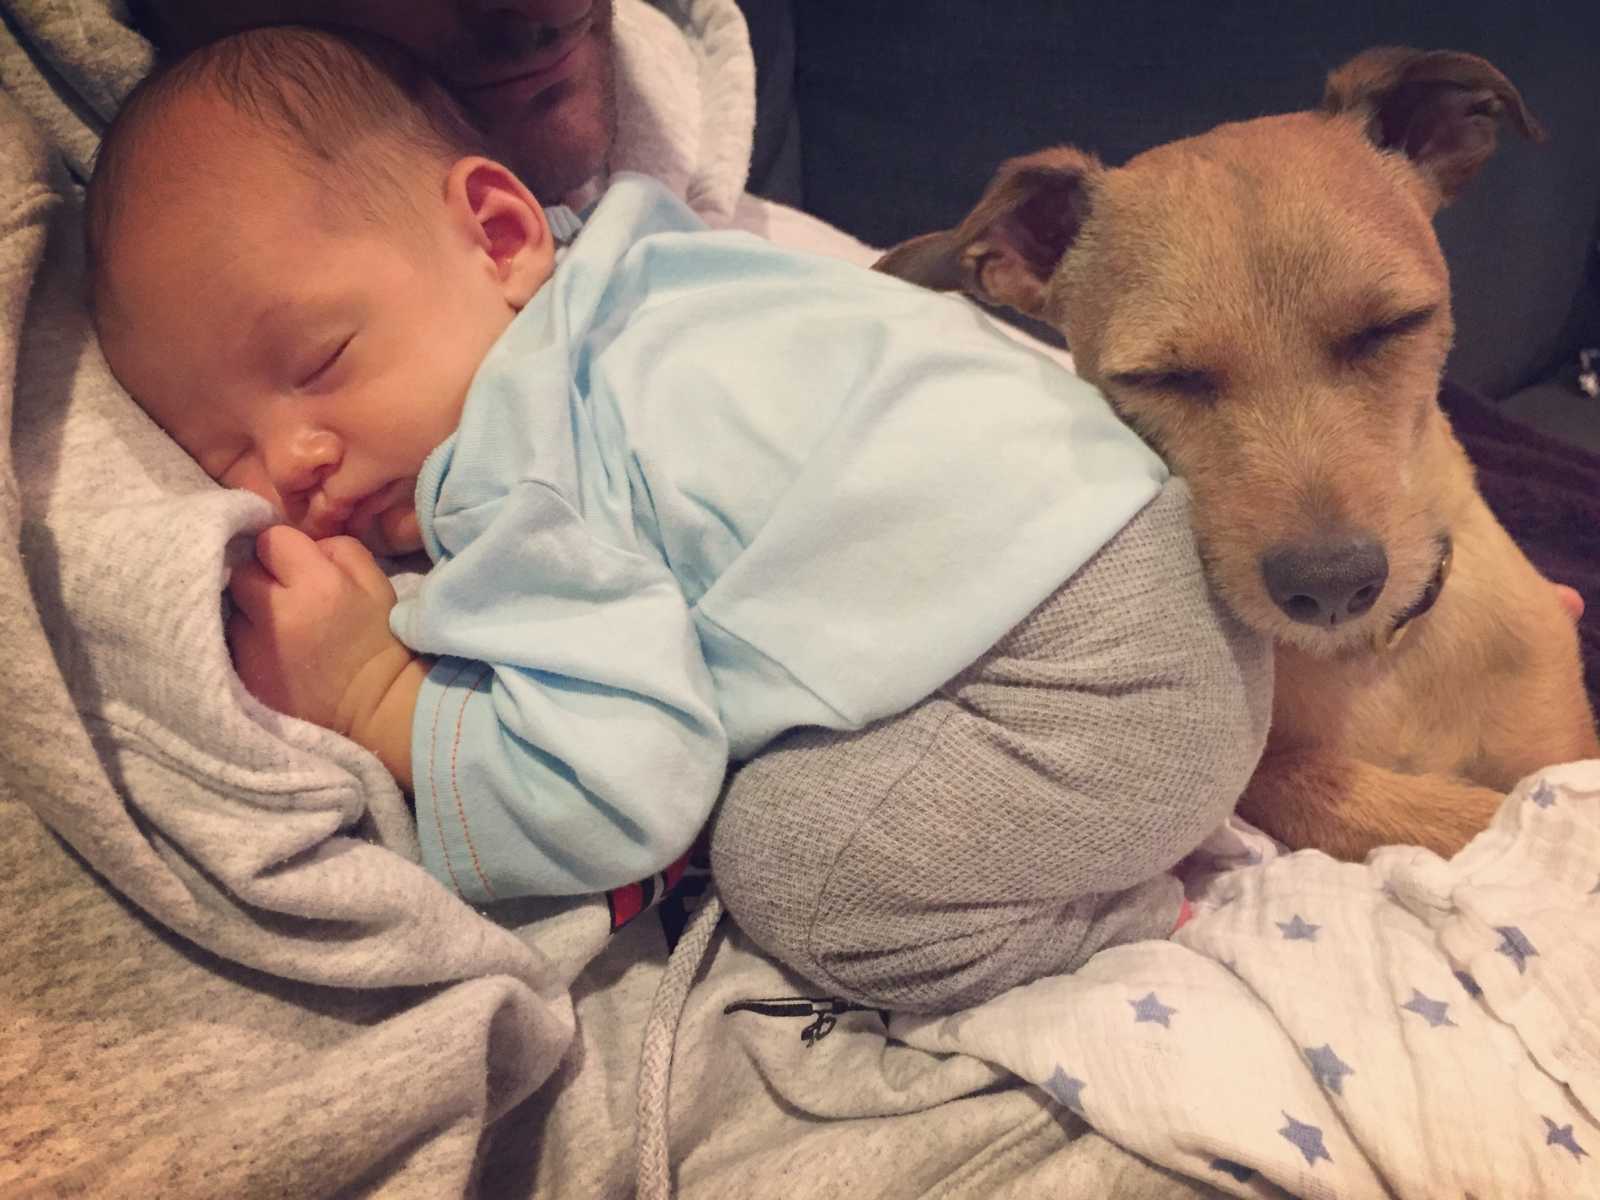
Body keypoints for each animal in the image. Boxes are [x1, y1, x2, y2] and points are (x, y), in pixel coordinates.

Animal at [876, 44, 1600, 857]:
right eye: (1161, 378)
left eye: (1393, 326)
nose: (1332, 589)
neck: (1379, 656)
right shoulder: (1276, 773)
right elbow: (1367, 797)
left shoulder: (1558, 740)